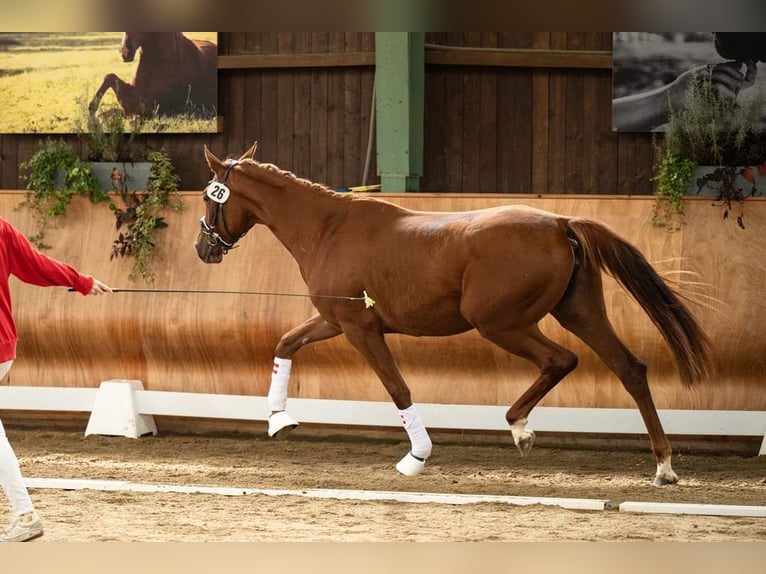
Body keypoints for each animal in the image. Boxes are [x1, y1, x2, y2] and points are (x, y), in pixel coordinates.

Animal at [195, 142, 716, 488]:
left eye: (208, 196)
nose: (204, 248)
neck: (328, 228)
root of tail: (559, 222)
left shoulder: (360, 328)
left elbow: (398, 388)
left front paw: (416, 458)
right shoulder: (335, 320)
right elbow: (285, 342)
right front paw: (279, 419)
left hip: (501, 323)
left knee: (561, 360)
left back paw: (521, 429)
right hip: (579, 313)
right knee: (630, 368)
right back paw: (663, 466)